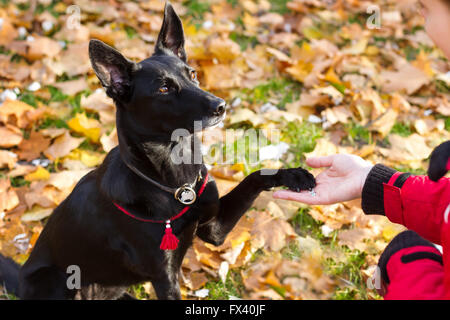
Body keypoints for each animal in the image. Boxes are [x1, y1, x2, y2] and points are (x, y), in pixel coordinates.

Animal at [0, 2, 316, 298]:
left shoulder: (213, 228)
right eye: (164, 89)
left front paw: (293, 175)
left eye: (193, 74)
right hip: (57, 281)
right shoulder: (164, 276)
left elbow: (254, 176)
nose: (221, 105)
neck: (175, 177)